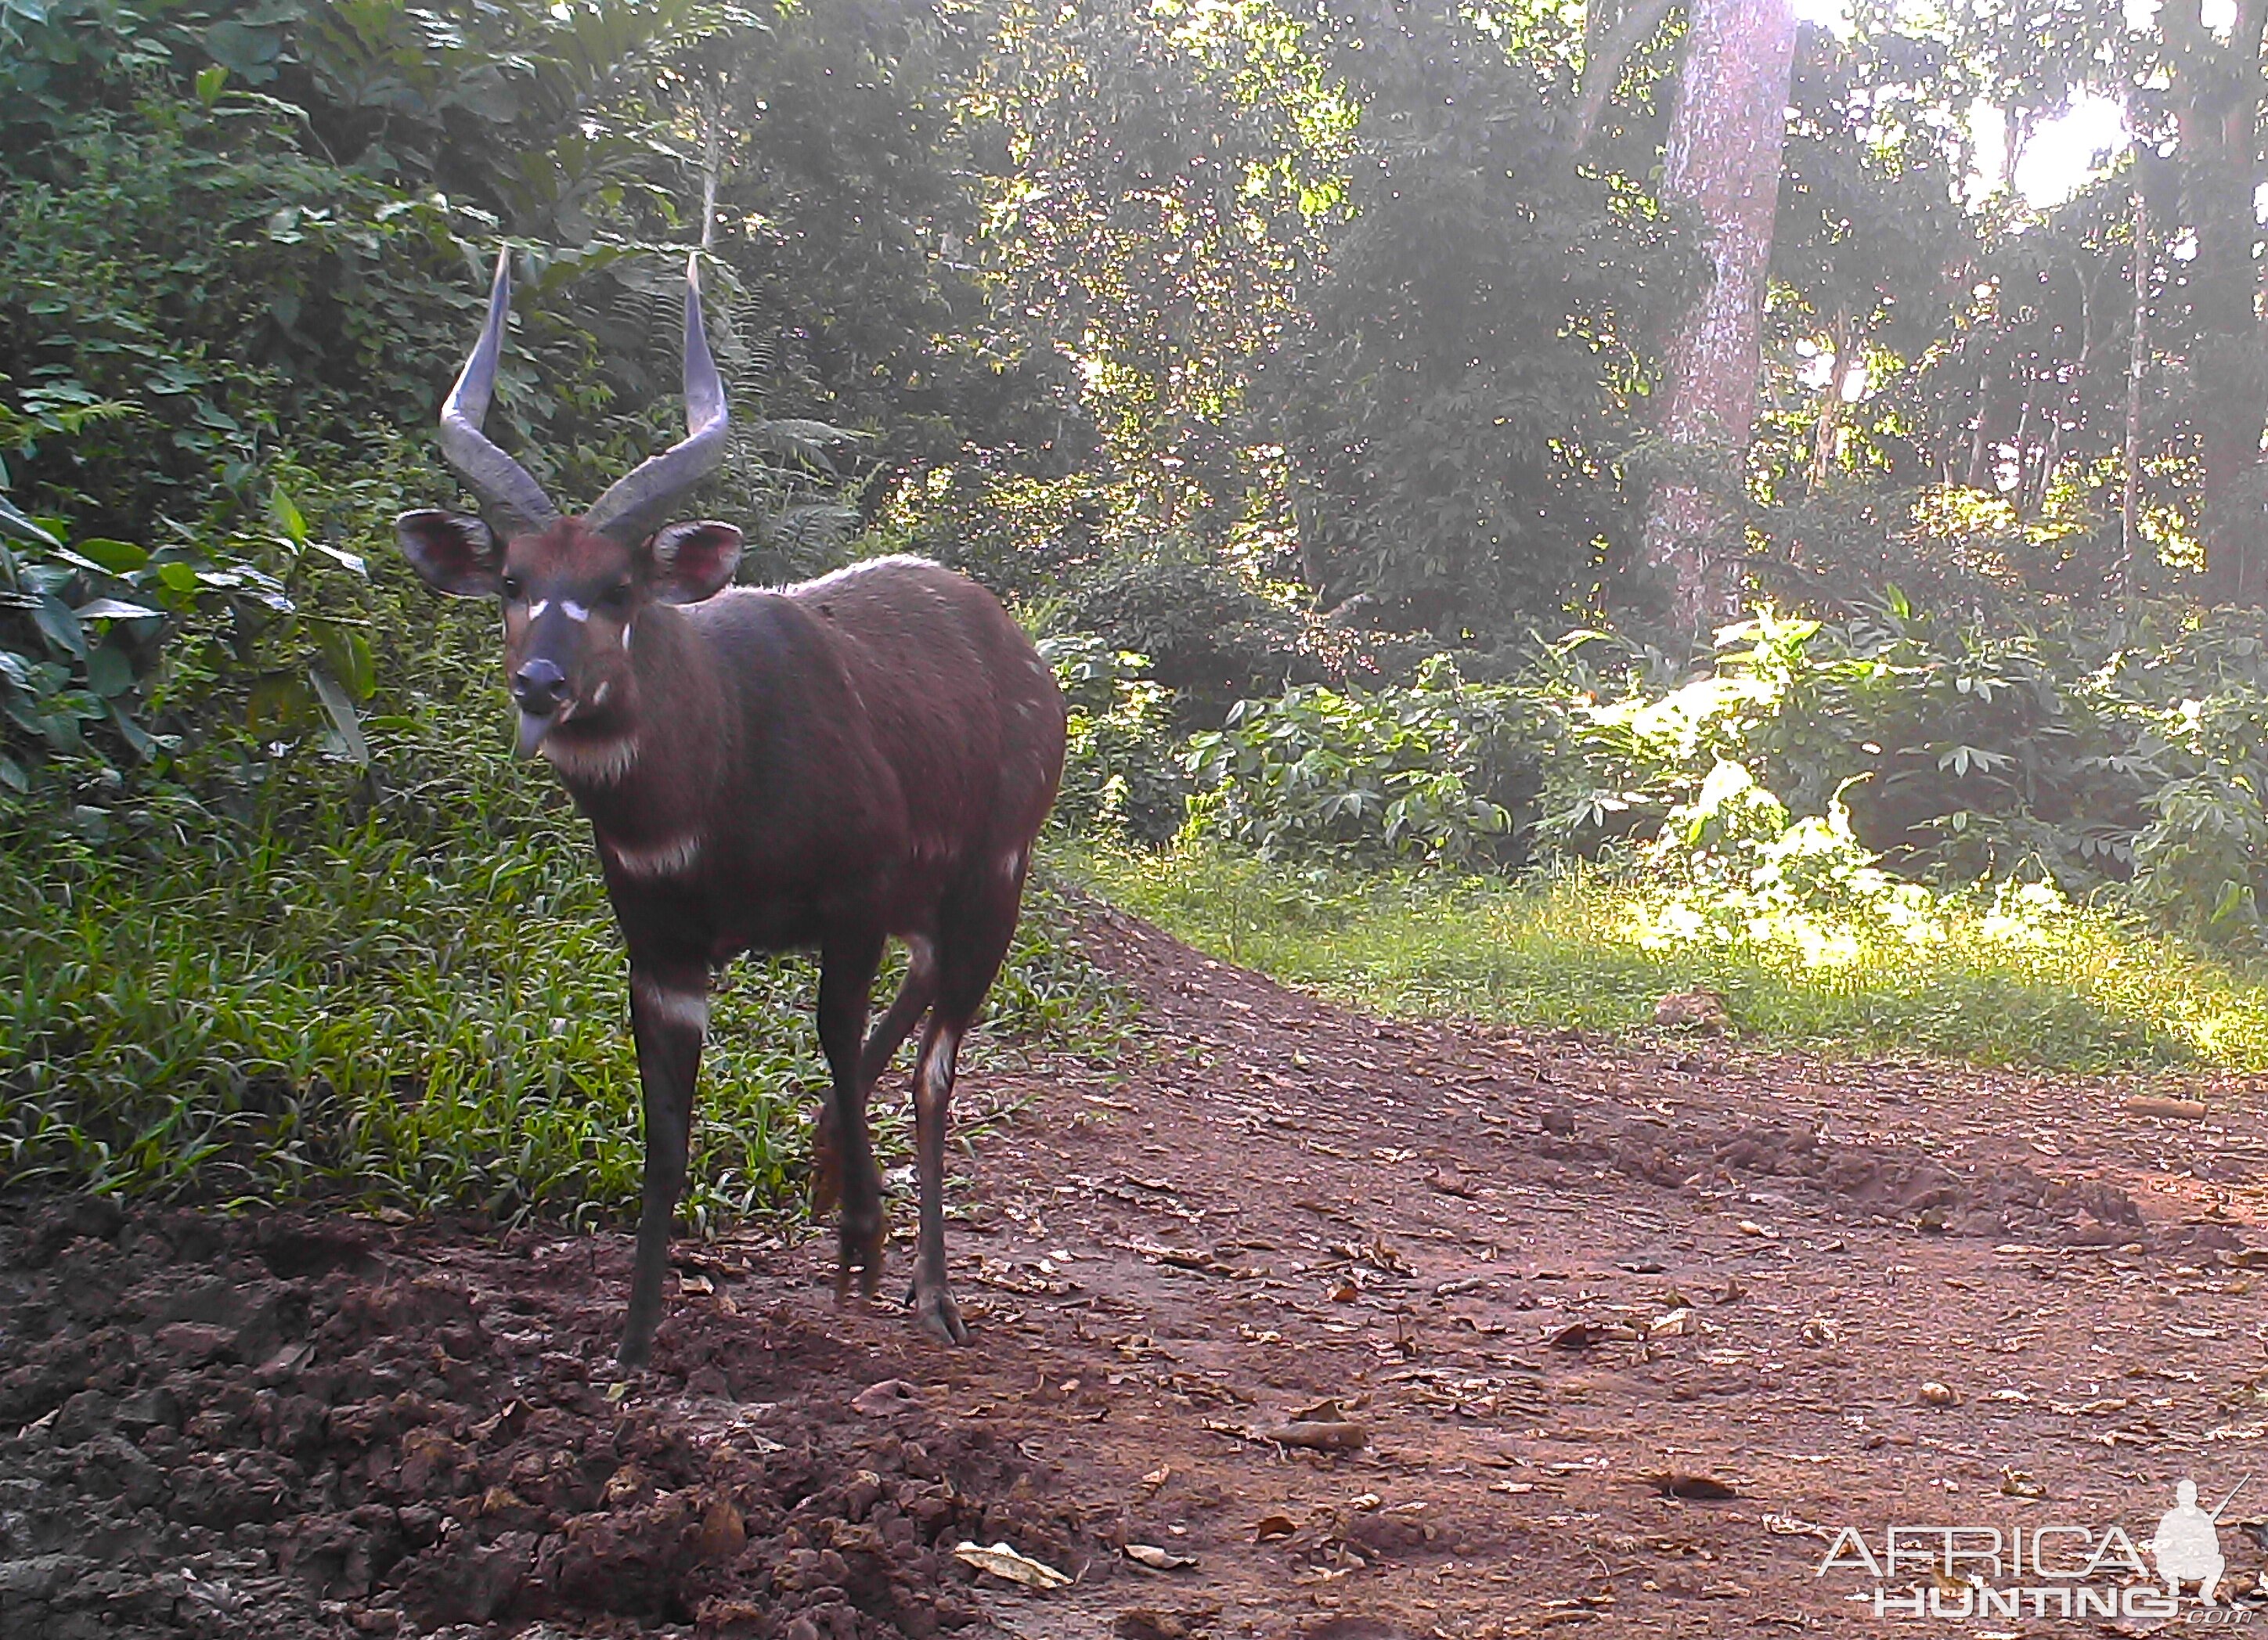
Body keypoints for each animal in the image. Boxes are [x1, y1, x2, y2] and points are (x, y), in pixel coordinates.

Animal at [396, 251, 1061, 1370]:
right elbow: (664, 1136)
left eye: (618, 587)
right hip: (934, 906)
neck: (709, 787)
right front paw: (630, 1344)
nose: (540, 683)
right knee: (918, 1008)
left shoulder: (853, 897)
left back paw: (930, 1288)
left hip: (991, 876)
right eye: (513, 582)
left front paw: (860, 1246)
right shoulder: (661, 948)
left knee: (933, 1072)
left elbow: (834, 1035)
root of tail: (1026, 657)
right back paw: (834, 1168)